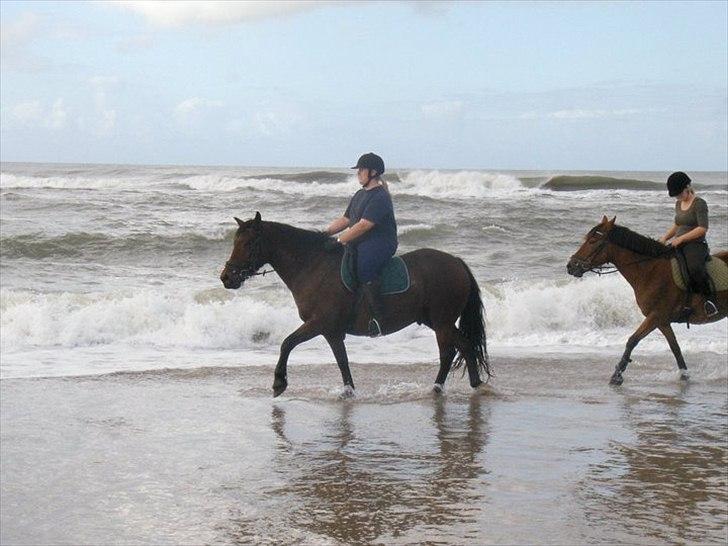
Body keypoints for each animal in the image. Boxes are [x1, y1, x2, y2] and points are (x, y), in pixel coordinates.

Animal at [216, 211, 490, 396]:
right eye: (235, 242)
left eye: (248, 243)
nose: (226, 278)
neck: (312, 267)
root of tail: (457, 262)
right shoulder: (332, 331)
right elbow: (342, 361)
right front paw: (348, 391)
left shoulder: (319, 324)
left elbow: (287, 343)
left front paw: (279, 383)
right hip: (437, 321)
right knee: (462, 347)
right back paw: (466, 384)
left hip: (442, 321)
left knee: (450, 351)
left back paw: (444, 388)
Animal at [568, 215, 728, 384]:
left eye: (593, 241)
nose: (571, 266)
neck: (650, 271)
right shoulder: (662, 321)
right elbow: (675, 347)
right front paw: (684, 375)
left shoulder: (655, 316)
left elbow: (632, 340)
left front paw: (617, 375)